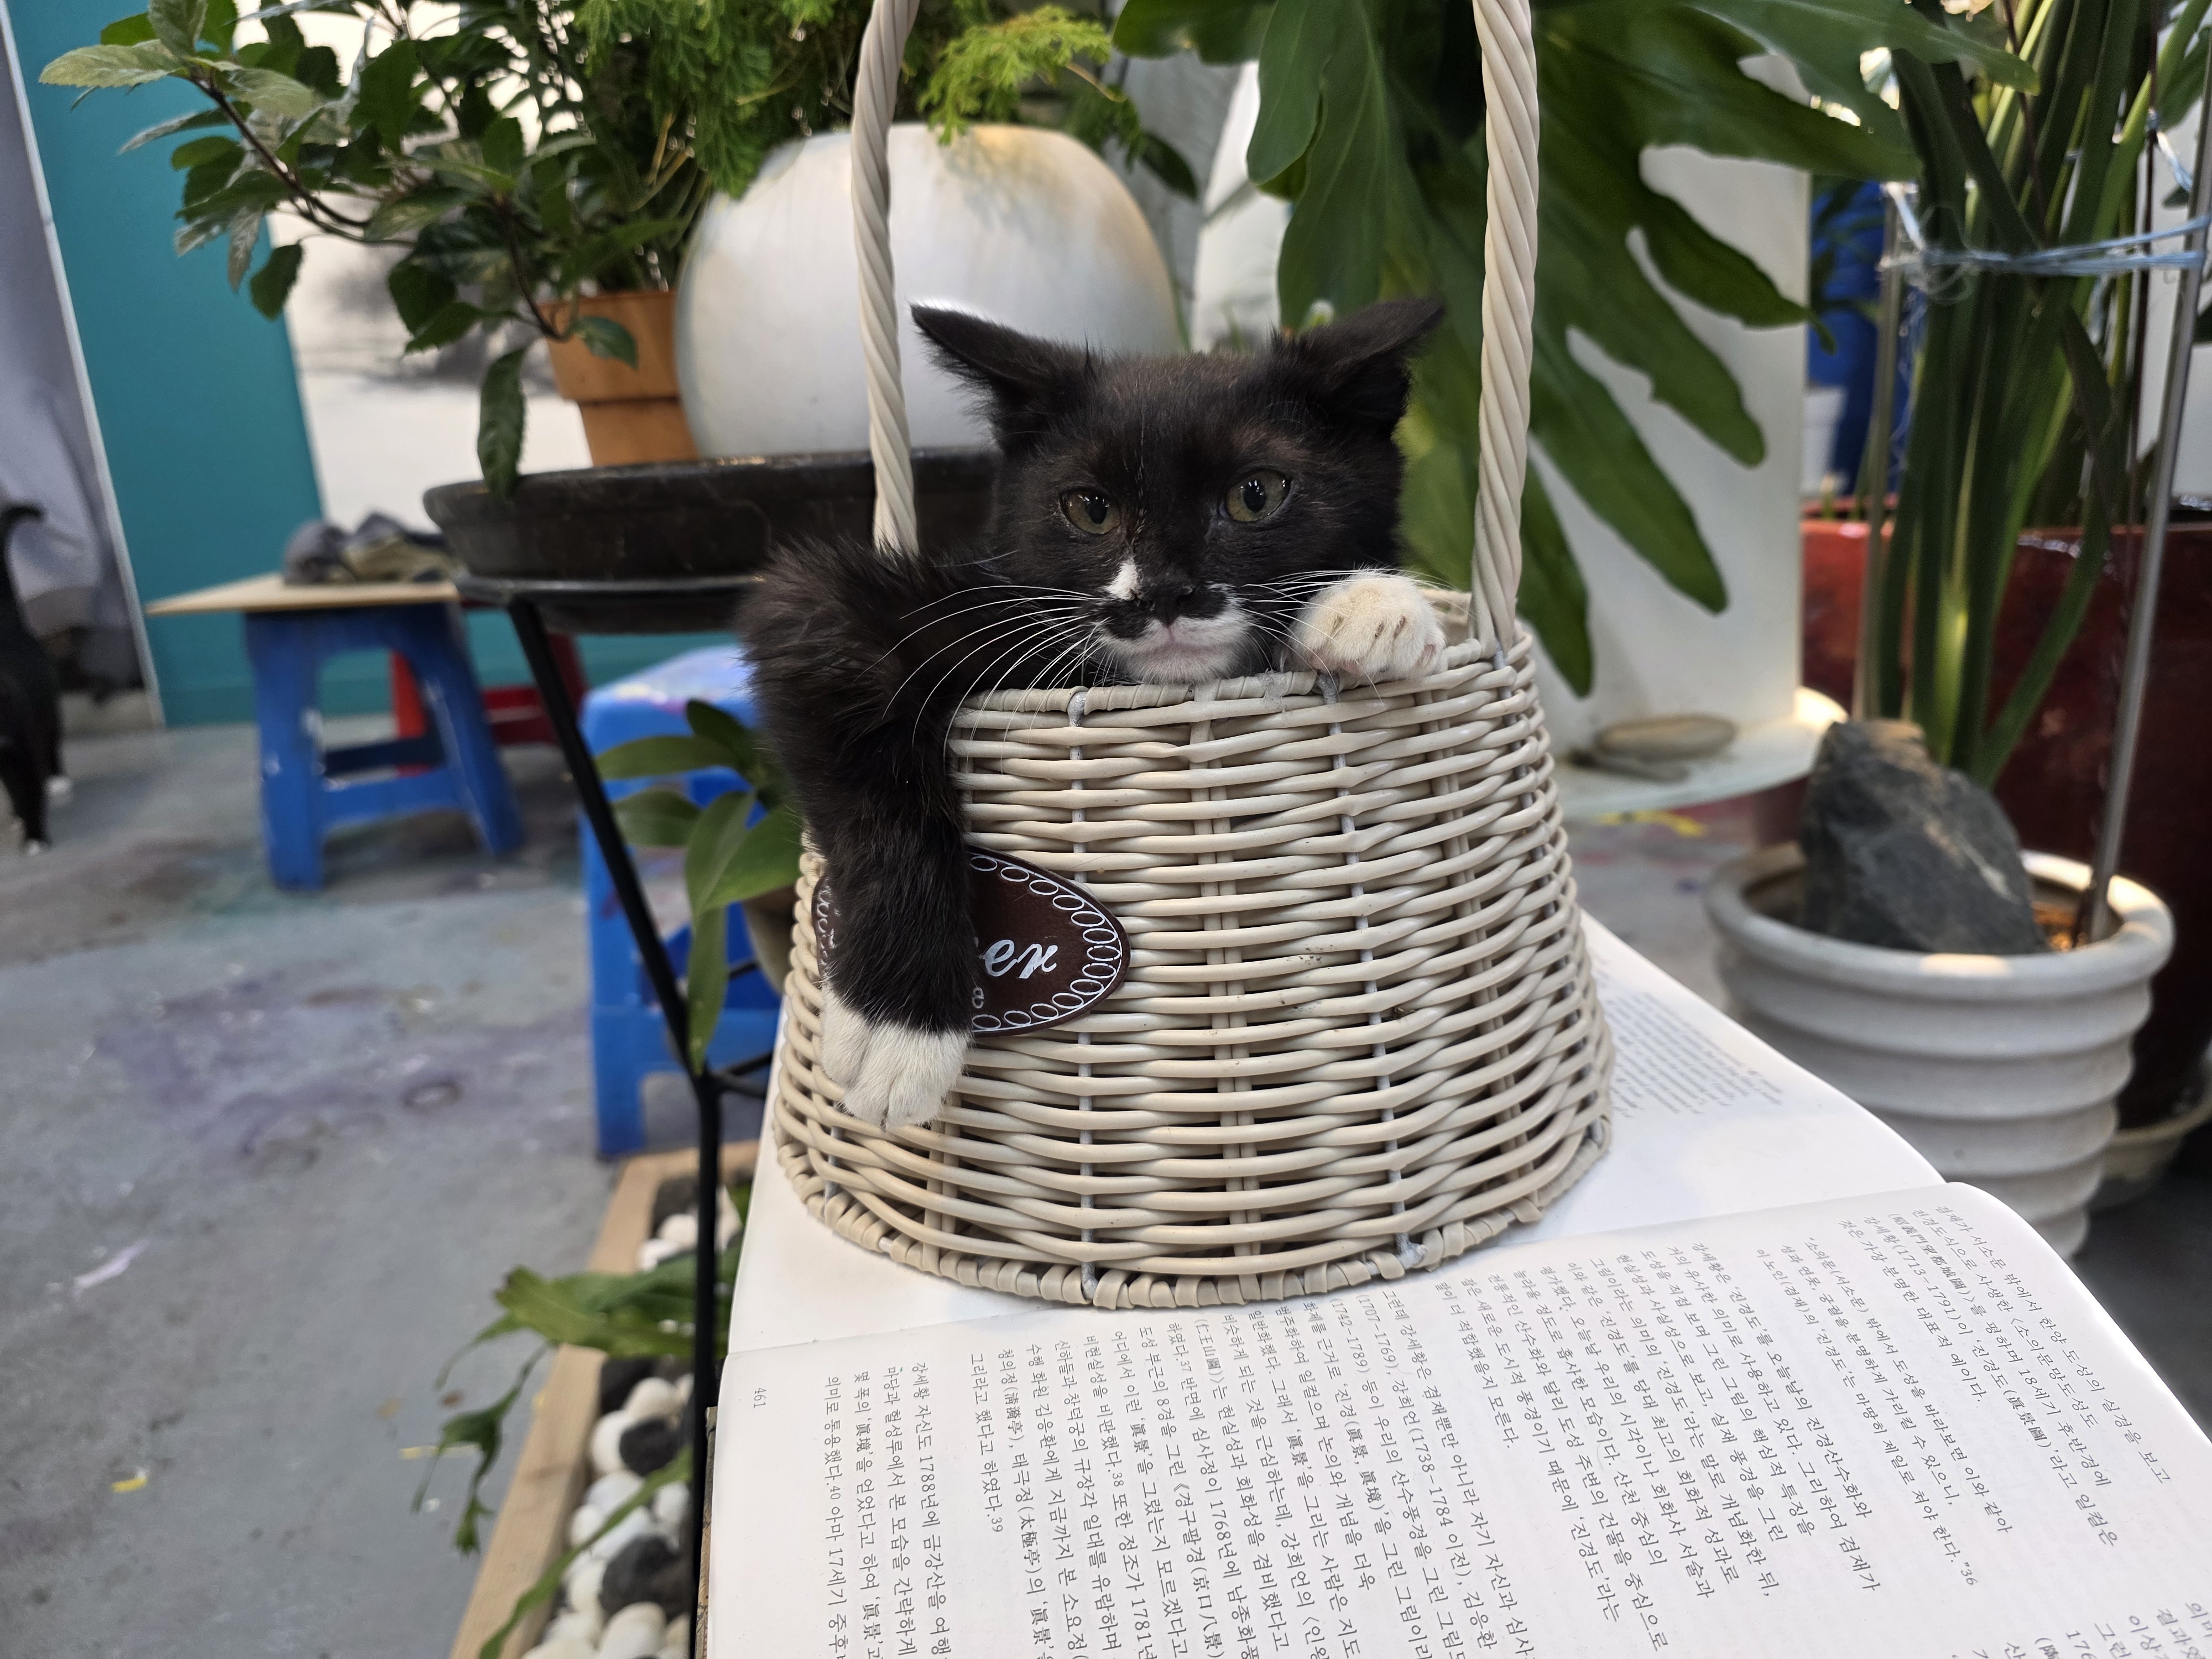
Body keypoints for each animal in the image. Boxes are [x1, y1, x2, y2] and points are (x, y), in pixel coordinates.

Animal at [738, 296, 1449, 1130]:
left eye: (1257, 495)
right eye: (1090, 509)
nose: (1163, 594)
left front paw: (1369, 606)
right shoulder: (827, 610)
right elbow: (876, 775)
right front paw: (899, 1025)